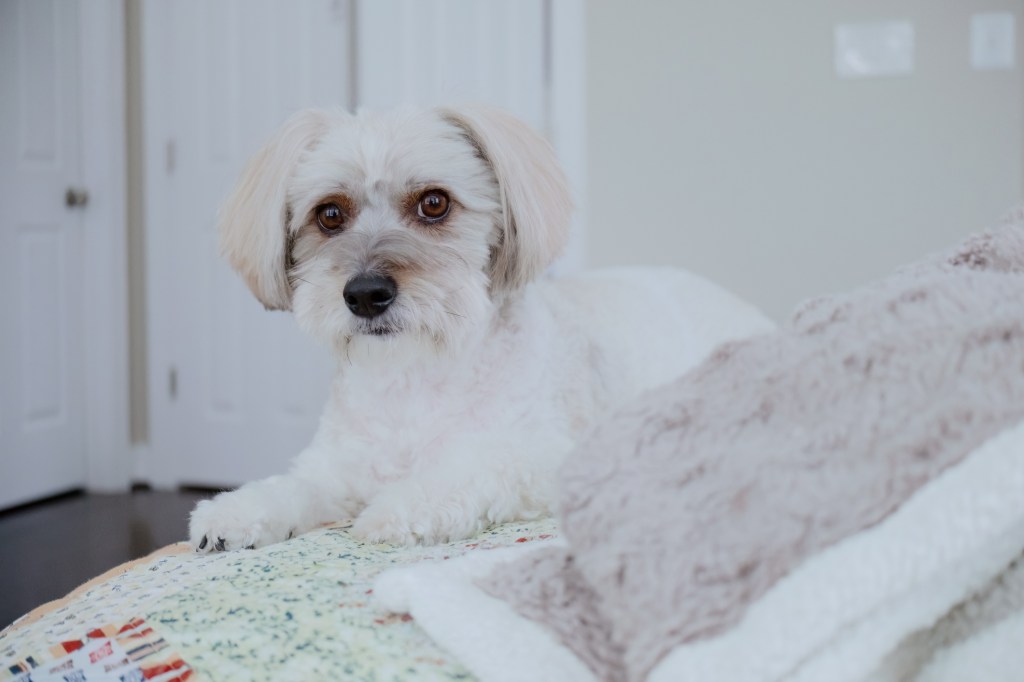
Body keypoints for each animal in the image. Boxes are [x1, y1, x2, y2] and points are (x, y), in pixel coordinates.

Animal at [188, 106, 770, 552]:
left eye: (434, 202)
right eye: (329, 214)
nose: (365, 294)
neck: (415, 377)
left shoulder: (546, 458)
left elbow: (469, 469)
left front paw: (400, 507)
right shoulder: (338, 468)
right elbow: (296, 486)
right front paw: (235, 512)